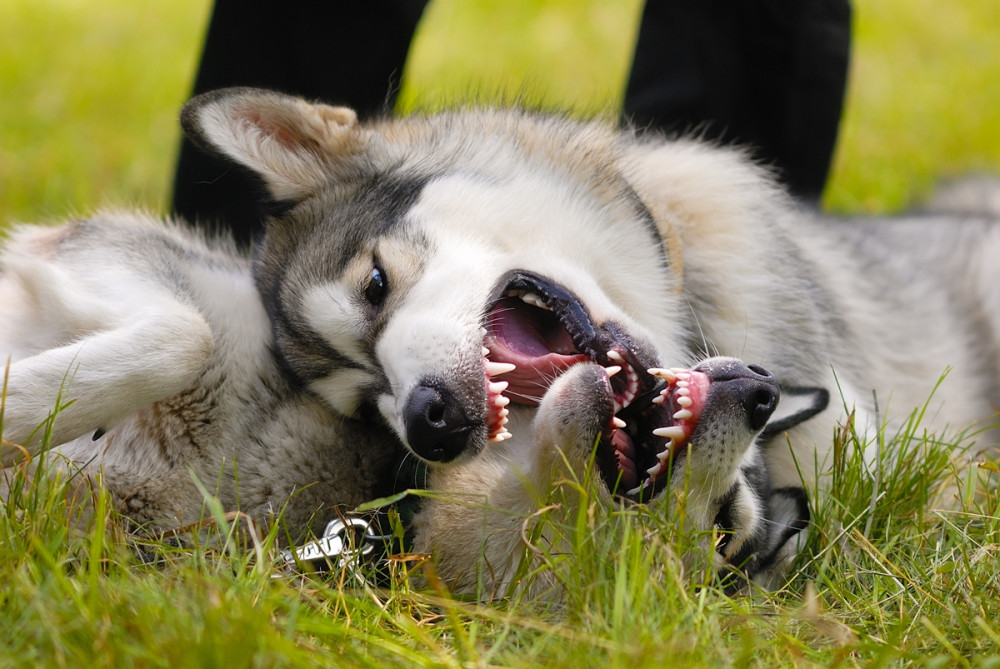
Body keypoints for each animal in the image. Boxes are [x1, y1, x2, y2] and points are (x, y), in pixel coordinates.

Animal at [1, 87, 1000, 596]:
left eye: (375, 287)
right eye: (364, 401)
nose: (430, 420)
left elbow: (175, 332)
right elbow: (174, 334)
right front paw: (28, 403)